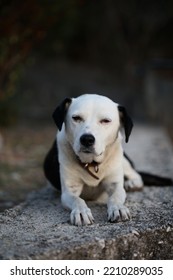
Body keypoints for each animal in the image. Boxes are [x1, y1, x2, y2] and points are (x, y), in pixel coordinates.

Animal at [43, 94, 172, 225]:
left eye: (105, 121)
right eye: (76, 118)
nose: (87, 139)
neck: (92, 163)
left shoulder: (115, 185)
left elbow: (115, 197)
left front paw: (118, 208)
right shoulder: (69, 191)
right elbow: (77, 200)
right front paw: (81, 212)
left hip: (122, 158)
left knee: (135, 174)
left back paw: (132, 182)